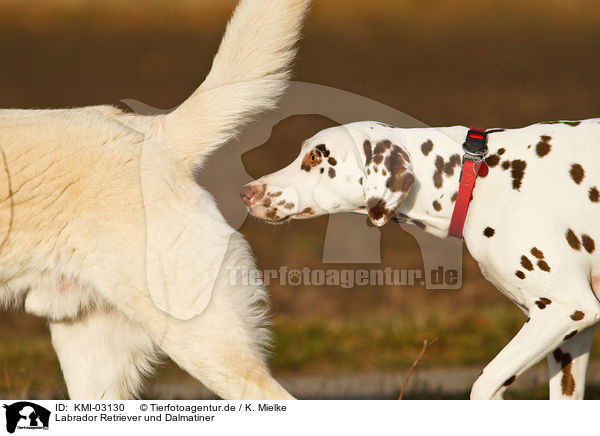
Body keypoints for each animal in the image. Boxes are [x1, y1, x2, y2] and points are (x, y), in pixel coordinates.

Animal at [243, 119, 600, 398]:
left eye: (315, 155)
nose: (246, 192)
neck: (477, 179)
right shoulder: (570, 336)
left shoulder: (567, 309)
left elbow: (483, 385)